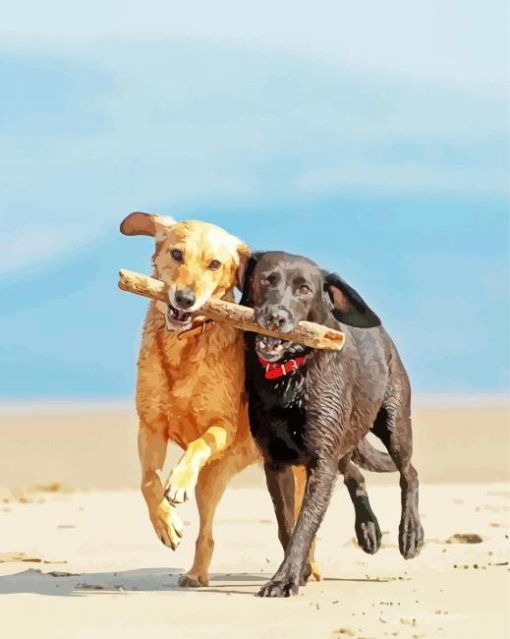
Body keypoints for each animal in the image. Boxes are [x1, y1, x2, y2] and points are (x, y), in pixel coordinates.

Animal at [241, 252, 424, 596]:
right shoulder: (276, 463)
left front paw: (284, 580)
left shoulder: (321, 461)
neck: (289, 375)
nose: (276, 317)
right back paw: (368, 528)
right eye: (266, 280)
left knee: (409, 472)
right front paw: (295, 572)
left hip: (394, 422)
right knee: (354, 473)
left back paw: (410, 533)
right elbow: (287, 524)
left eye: (304, 289)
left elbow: (305, 524)